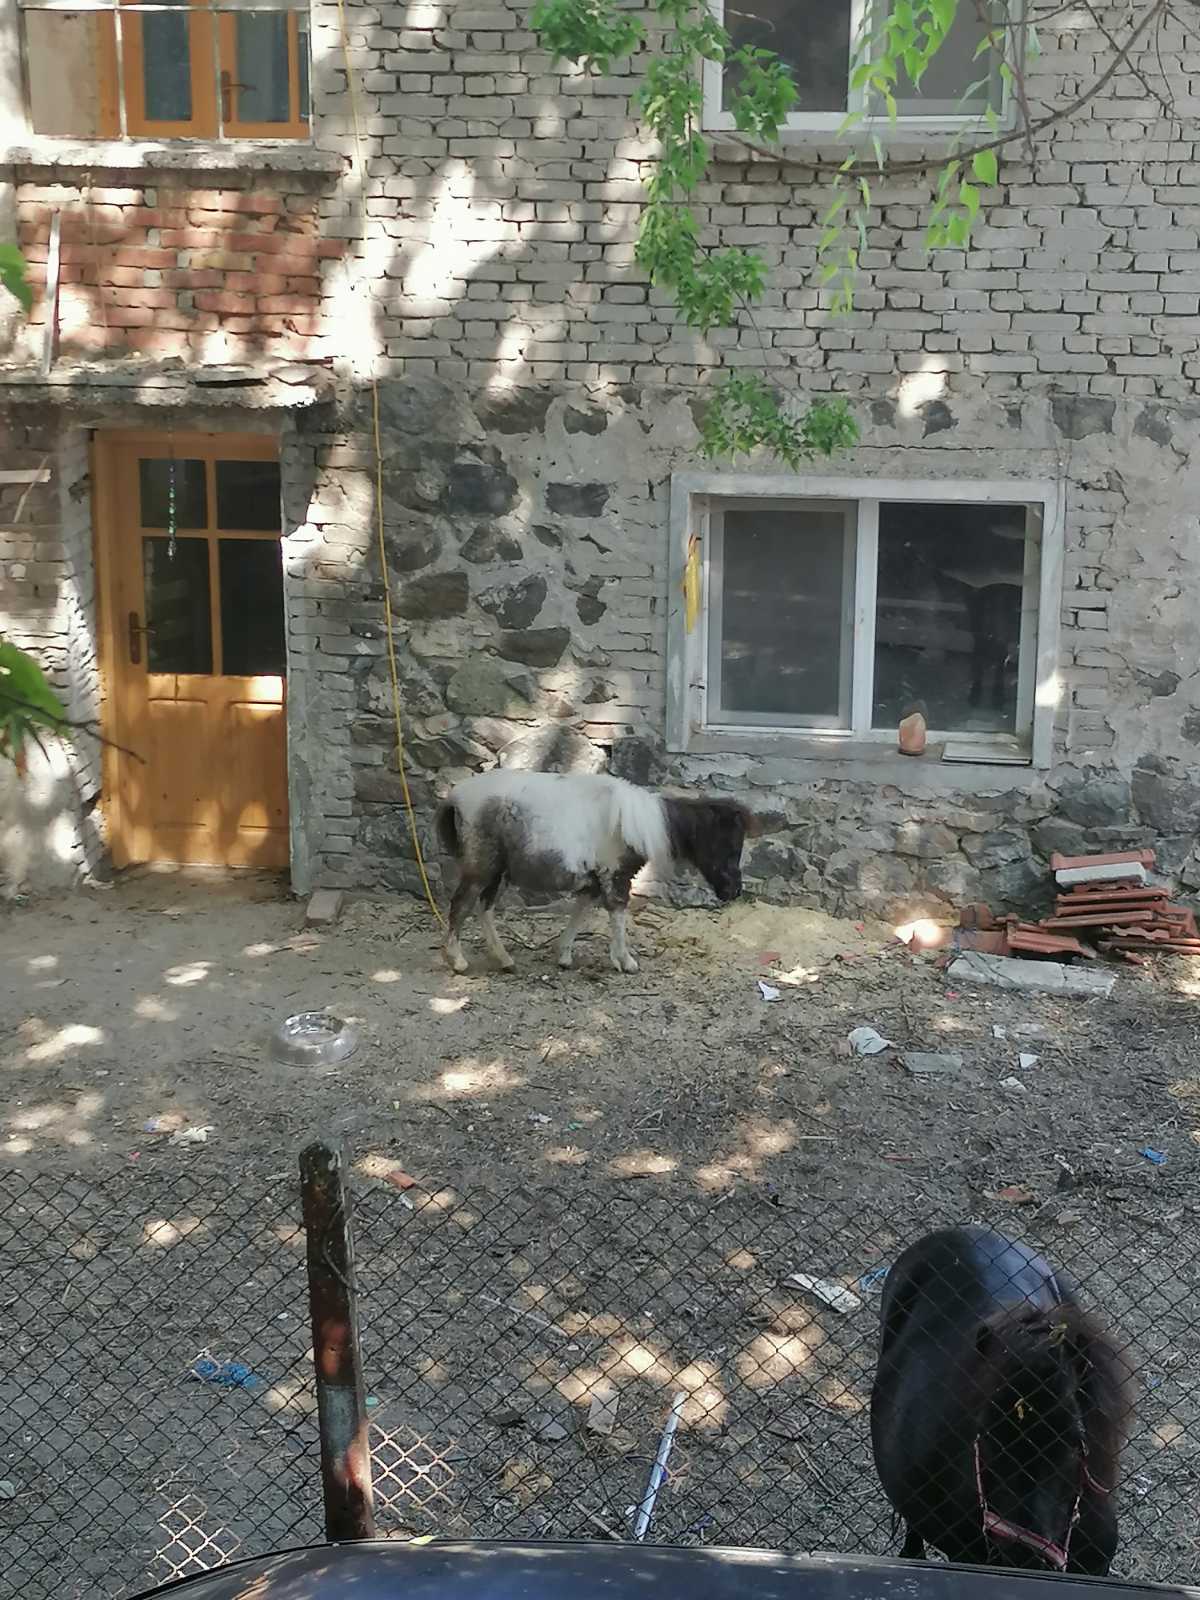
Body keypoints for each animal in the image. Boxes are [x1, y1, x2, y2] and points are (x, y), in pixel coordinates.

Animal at [435, 770, 762, 975]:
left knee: (484, 909)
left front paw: (564, 956)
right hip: (481, 868)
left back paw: (504, 960)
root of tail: (455, 798)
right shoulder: (614, 876)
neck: (636, 822)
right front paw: (626, 962)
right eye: (728, 844)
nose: (733, 891)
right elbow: (617, 916)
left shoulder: (593, 880)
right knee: (461, 905)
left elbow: (581, 912)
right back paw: (458, 961)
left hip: (497, 872)